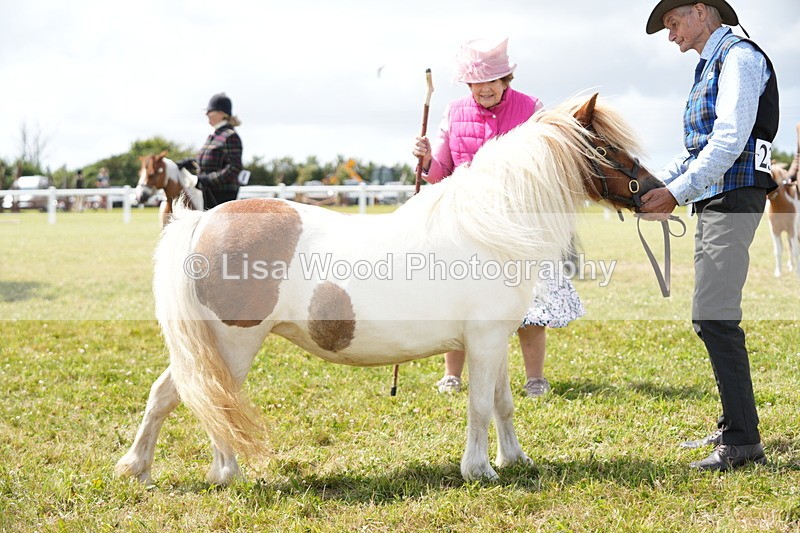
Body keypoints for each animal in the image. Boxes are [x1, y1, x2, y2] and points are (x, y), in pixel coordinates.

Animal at [116, 94, 664, 485]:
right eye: (607, 149)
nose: (657, 192)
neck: (492, 223)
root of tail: (202, 223)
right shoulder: (485, 342)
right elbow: (479, 406)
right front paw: (480, 471)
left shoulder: (496, 342)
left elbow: (503, 404)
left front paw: (516, 460)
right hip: (233, 343)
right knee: (210, 399)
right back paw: (221, 471)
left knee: (171, 394)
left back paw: (140, 470)